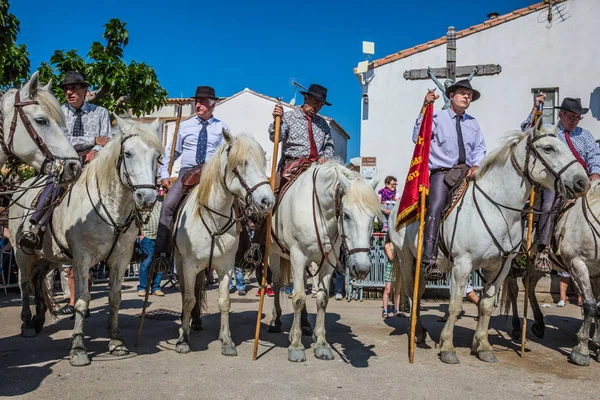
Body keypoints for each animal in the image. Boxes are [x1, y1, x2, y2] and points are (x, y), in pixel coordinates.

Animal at [9, 115, 159, 366]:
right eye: (128, 154)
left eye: (157, 156)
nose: (146, 198)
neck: (109, 208)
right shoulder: (82, 260)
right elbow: (82, 300)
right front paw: (78, 348)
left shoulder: (120, 260)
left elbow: (115, 298)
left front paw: (116, 342)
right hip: (22, 253)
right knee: (25, 283)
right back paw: (27, 323)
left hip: (49, 256)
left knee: (39, 280)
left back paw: (39, 318)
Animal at [173, 133, 274, 354]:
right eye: (242, 163)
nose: (268, 201)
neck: (213, 220)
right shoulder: (189, 265)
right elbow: (187, 298)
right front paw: (182, 339)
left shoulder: (225, 267)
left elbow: (224, 301)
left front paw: (227, 340)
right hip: (181, 263)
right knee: (187, 292)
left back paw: (196, 321)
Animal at [264, 161, 378, 364]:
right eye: (346, 215)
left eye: (372, 217)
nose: (362, 268)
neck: (319, 213)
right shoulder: (298, 256)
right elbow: (298, 298)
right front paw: (296, 346)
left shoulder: (327, 262)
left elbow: (322, 299)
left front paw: (321, 344)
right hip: (276, 255)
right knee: (277, 284)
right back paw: (276, 321)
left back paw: (304, 324)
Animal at [386, 123, 588, 364]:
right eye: (548, 148)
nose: (583, 182)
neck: (497, 208)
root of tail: (398, 206)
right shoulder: (462, 265)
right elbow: (455, 305)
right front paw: (447, 347)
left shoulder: (499, 267)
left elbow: (487, 305)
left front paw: (482, 346)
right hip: (406, 258)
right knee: (412, 293)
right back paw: (416, 333)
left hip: (421, 265)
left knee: (420, 290)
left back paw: (421, 332)